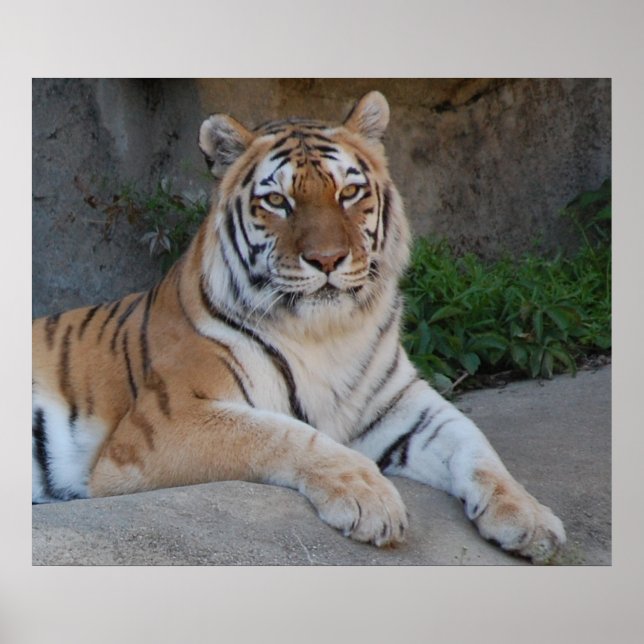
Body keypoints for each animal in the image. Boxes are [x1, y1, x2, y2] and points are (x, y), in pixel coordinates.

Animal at [32, 90, 565, 562]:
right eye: (277, 201)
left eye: (348, 192)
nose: (327, 259)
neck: (326, 334)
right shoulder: (164, 423)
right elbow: (283, 434)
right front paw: (370, 499)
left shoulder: (402, 404)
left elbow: (475, 444)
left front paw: (530, 518)